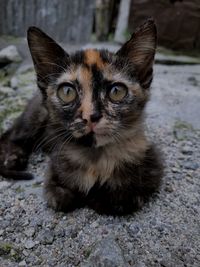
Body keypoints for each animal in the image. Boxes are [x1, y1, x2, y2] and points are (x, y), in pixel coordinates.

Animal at [0, 18, 162, 216]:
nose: (91, 116)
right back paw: (13, 157)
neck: (95, 156)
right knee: (10, 135)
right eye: (67, 92)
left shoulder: (152, 166)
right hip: (36, 116)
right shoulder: (56, 165)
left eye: (117, 91)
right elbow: (59, 196)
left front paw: (97, 195)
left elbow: (121, 198)